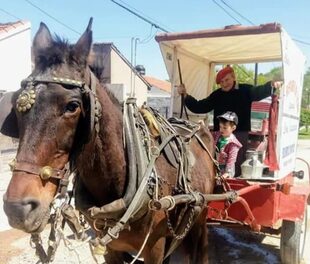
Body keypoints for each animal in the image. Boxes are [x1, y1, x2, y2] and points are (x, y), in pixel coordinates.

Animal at [0, 19, 216, 264]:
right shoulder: (110, 249)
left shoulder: (155, 249)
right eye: (16, 103)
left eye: (73, 106)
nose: (17, 209)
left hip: (201, 215)